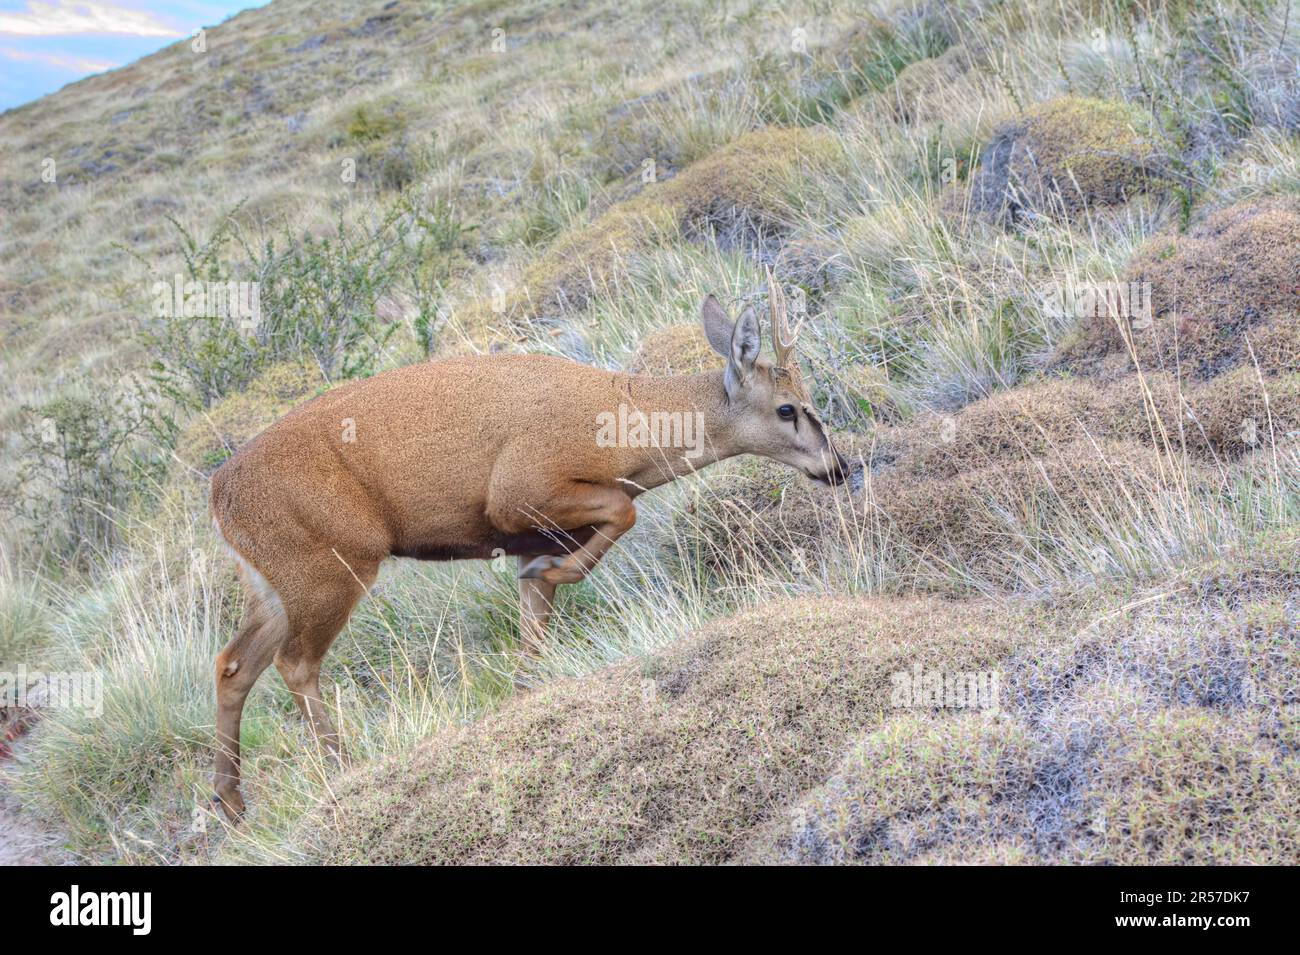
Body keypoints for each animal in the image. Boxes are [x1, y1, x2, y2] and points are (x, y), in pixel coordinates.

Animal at [208, 272, 847, 815]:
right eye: (788, 408)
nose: (837, 468)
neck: (624, 434)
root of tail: (218, 495)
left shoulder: (526, 532)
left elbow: (532, 638)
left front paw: (526, 686)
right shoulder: (519, 490)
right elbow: (623, 511)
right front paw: (554, 572)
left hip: (274, 579)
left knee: (233, 663)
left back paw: (232, 803)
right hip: (332, 563)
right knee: (296, 663)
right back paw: (342, 768)